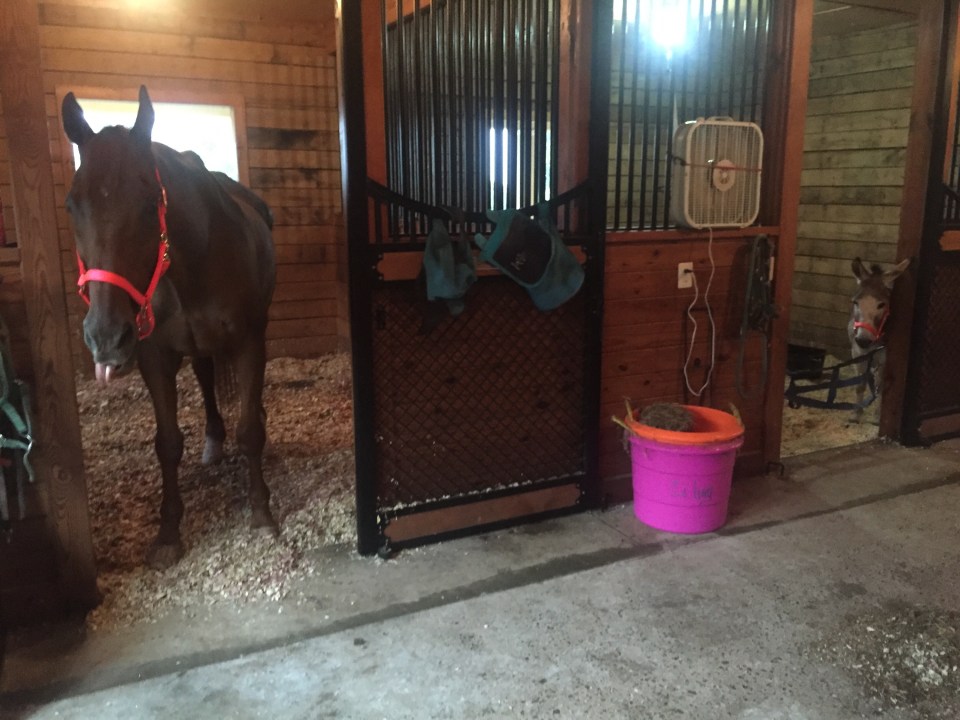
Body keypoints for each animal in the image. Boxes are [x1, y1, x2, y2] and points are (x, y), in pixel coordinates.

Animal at [62, 86, 277, 569]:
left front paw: (260, 510)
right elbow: (167, 443)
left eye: (149, 204)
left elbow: (249, 432)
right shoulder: (154, 357)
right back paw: (213, 442)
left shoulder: (249, 343)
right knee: (206, 378)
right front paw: (168, 532)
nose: (106, 337)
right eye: (72, 203)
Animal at [848, 256, 910, 422]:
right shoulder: (858, 354)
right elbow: (860, 385)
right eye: (855, 302)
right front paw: (856, 414)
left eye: (882, 304)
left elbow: (881, 387)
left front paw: (877, 417)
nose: (863, 340)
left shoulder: (884, 360)